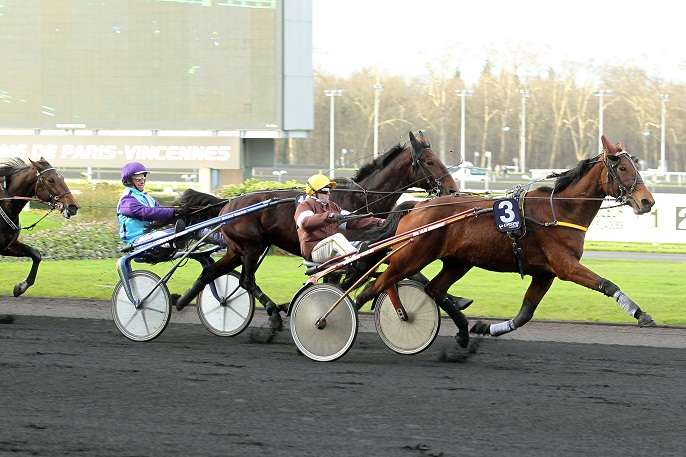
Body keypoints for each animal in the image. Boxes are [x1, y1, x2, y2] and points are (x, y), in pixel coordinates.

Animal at [0, 158, 80, 296]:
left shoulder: (7, 246)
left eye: (62, 177)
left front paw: (21, 287)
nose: (73, 206)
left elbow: (36, 254)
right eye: (51, 180)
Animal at [170, 130, 464, 330]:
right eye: (429, 162)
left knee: (211, 272)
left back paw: (182, 301)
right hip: (251, 247)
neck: (362, 200)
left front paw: (457, 300)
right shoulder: (348, 255)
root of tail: (228, 202)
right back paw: (273, 314)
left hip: (238, 249)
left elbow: (413, 275)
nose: (452, 190)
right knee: (246, 281)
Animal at [352, 134, 660, 346]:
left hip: (457, 261)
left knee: (434, 291)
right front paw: (642, 315)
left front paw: (484, 328)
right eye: (623, 169)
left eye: (636, 166)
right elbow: (607, 284)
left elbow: (525, 314)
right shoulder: (565, 266)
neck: (559, 210)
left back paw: (463, 332)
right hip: (409, 257)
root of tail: (416, 207)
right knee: (372, 288)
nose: (648, 201)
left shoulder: (544, 273)